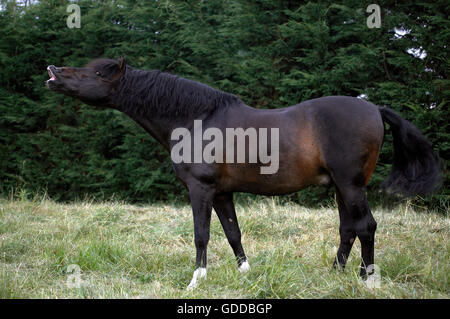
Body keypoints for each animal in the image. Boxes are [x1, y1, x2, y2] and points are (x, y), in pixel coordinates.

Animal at [44, 57, 440, 290]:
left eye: (97, 72)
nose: (53, 72)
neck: (196, 118)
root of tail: (374, 108)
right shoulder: (222, 192)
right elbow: (233, 233)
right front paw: (245, 274)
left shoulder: (201, 189)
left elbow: (201, 235)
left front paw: (196, 281)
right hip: (342, 188)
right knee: (349, 229)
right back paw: (337, 275)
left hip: (352, 185)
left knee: (366, 226)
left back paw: (366, 281)